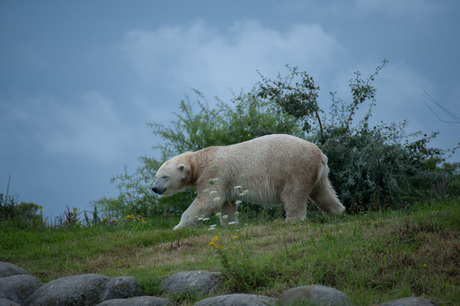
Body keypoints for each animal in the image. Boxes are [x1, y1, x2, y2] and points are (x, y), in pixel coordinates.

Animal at [152, 134, 344, 230]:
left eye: (164, 176)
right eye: (156, 175)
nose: (154, 188)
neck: (198, 161)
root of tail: (320, 154)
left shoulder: (213, 173)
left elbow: (209, 201)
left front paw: (178, 226)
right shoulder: (225, 180)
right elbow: (226, 204)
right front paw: (229, 224)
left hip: (294, 168)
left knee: (293, 194)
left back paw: (291, 220)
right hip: (318, 173)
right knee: (323, 191)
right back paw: (338, 212)